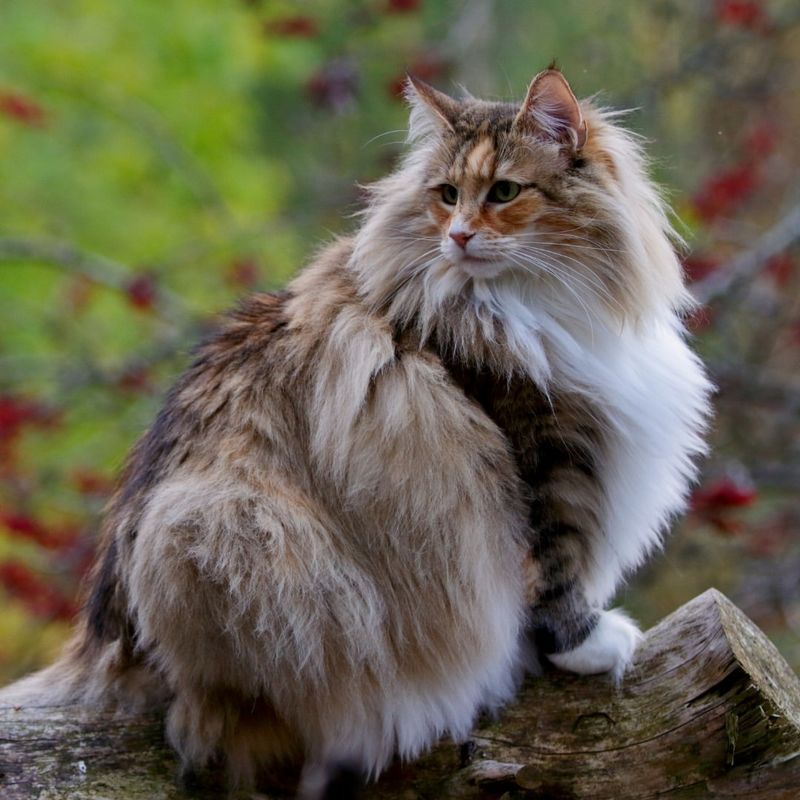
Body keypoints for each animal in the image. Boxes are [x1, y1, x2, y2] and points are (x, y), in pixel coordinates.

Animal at [0, 69, 712, 800]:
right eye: (448, 195)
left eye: (504, 193)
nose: (459, 236)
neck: (531, 303)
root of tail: (100, 642)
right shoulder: (545, 455)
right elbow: (554, 571)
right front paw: (590, 644)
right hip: (222, 524)